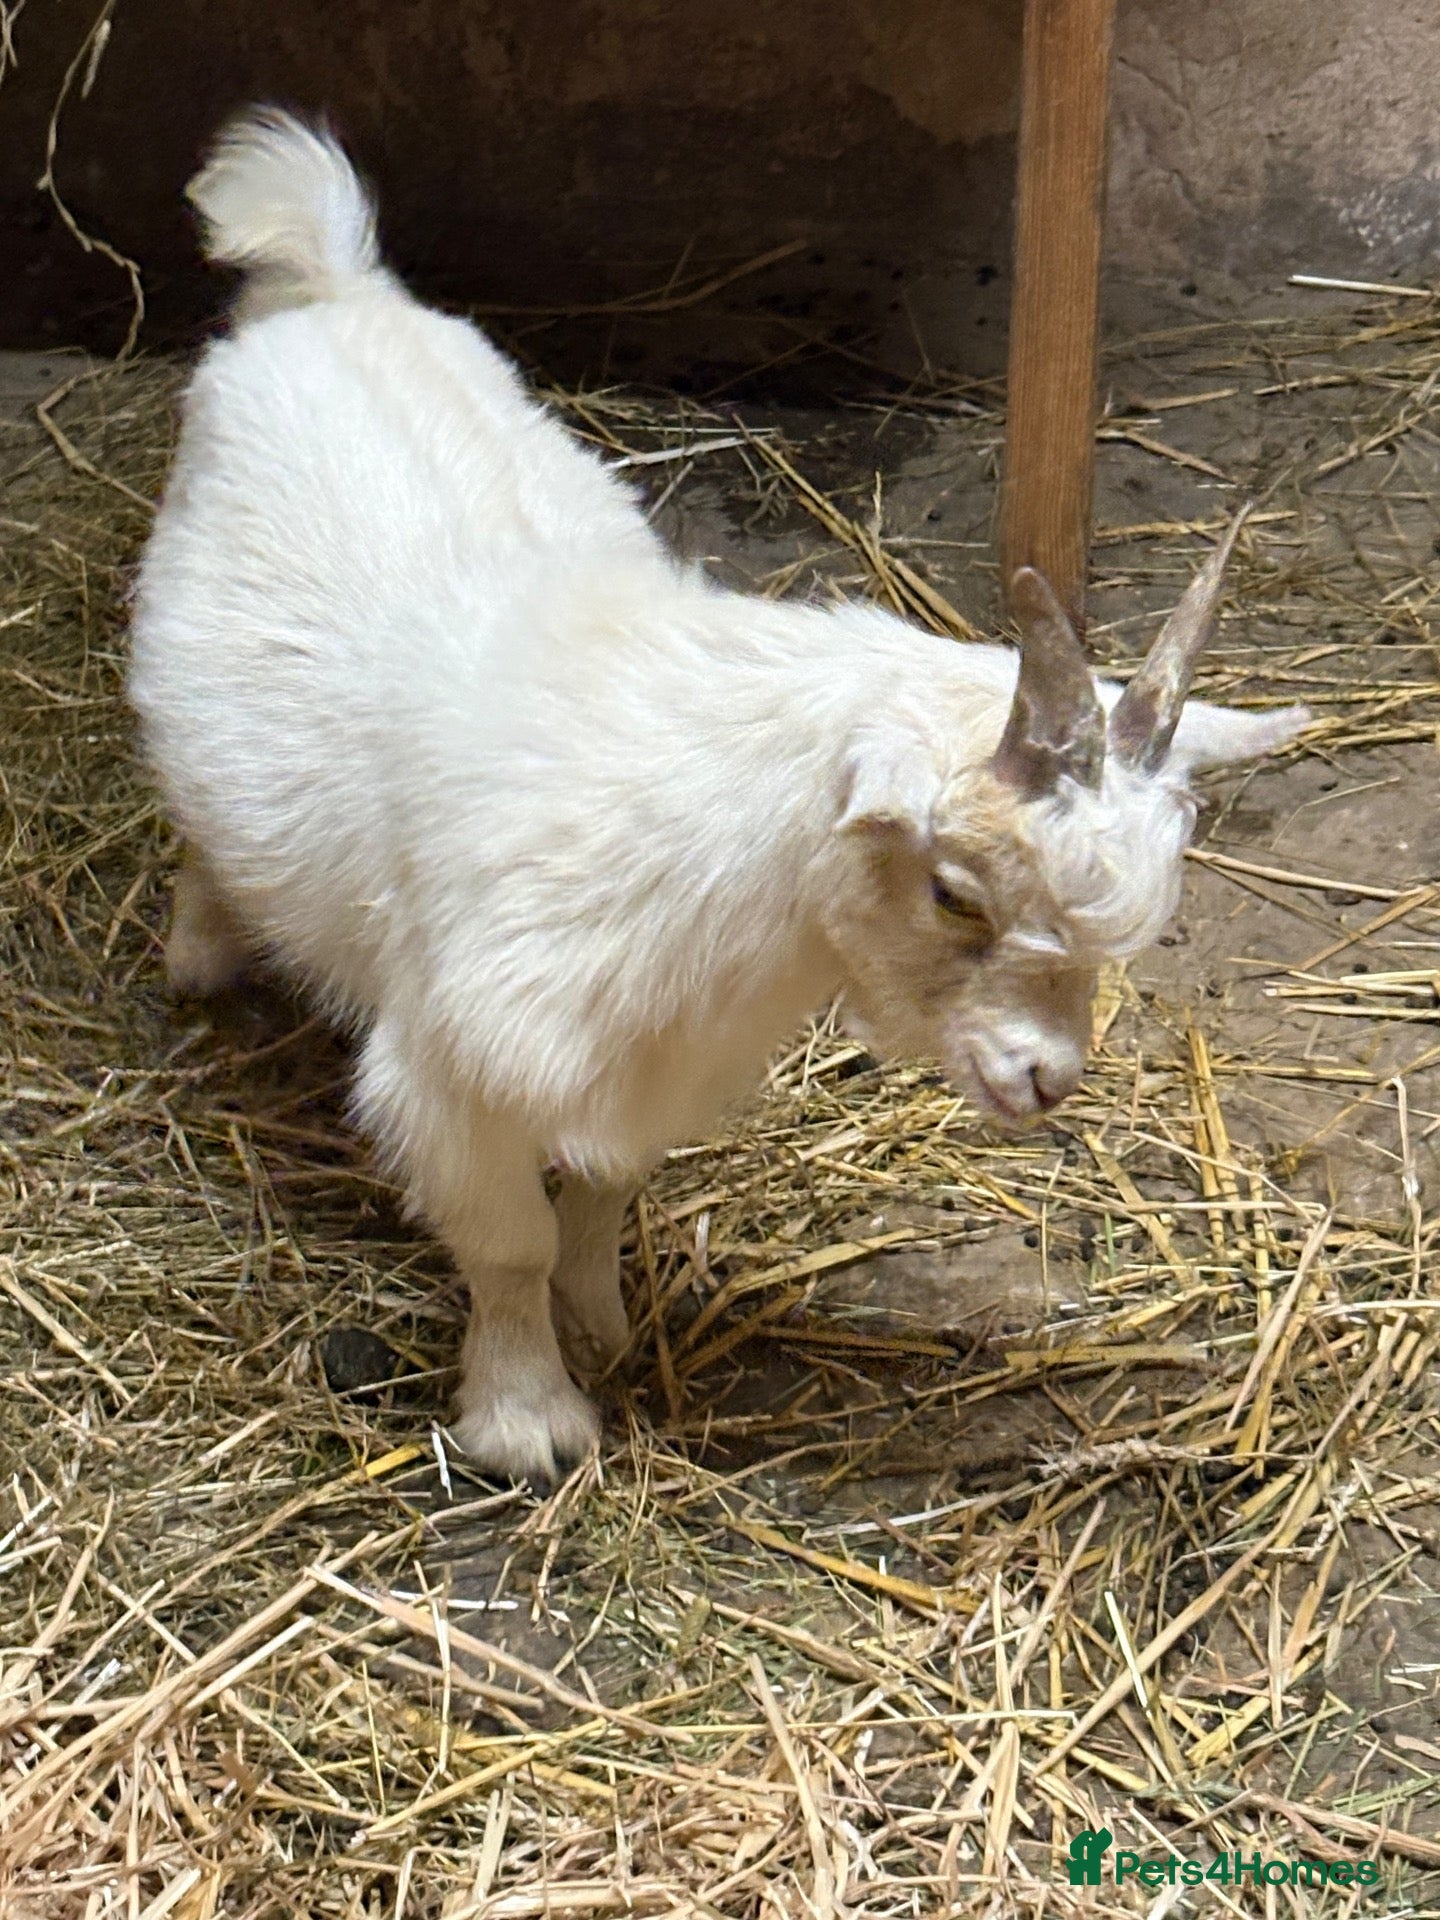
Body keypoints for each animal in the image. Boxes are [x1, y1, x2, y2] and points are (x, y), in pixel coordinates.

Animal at [129, 111, 1310, 1484]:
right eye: (955, 892)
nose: (1046, 1082)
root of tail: (334, 284)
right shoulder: (451, 1067)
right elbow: (510, 1243)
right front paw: (527, 1418)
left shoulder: (655, 1065)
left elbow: (598, 1200)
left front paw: (602, 1326)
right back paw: (203, 948)